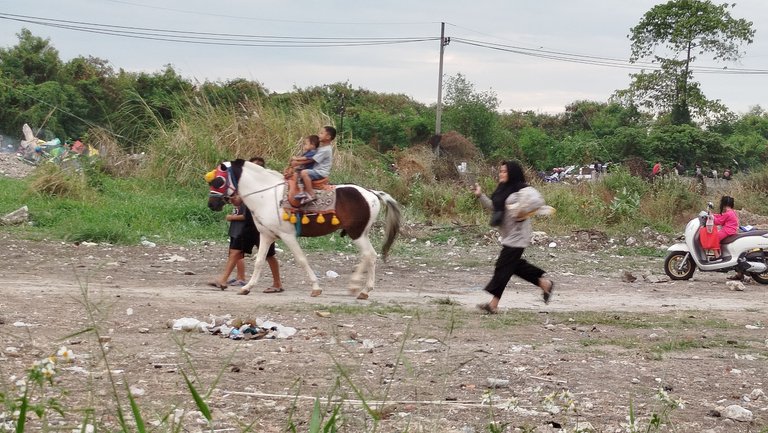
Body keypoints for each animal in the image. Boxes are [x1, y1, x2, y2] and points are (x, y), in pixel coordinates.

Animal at [204, 158, 402, 296]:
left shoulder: (287, 235)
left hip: (357, 233)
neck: (266, 195)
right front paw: (247, 287)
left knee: (369, 255)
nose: (212, 204)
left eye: (218, 181)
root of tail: (371, 193)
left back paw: (364, 290)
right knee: (368, 256)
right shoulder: (266, 235)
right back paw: (356, 287)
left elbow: (301, 259)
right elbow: (259, 261)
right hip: (361, 233)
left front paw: (316, 288)